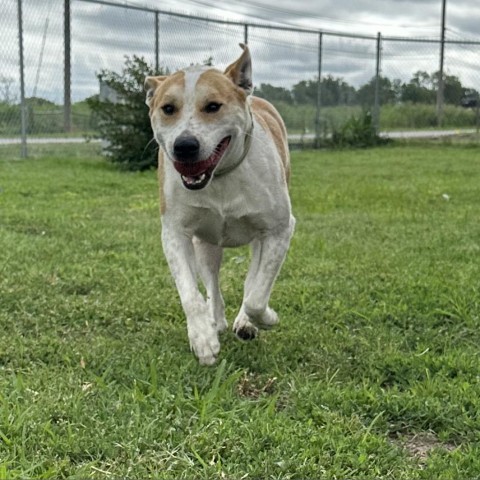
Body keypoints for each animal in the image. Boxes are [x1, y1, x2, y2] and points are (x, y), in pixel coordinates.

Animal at [144, 45, 294, 366]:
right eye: (168, 108)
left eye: (213, 106)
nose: (184, 146)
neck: (221, 176)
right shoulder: (175, 232)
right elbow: (190, 292)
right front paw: (202, 337)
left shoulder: (280, 229)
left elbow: (256, 296)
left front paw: (264, 318)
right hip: (206, 245)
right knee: (212, 282)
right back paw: (216, 321)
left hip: (260, 238)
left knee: (253, 280)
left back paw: (245, 322)